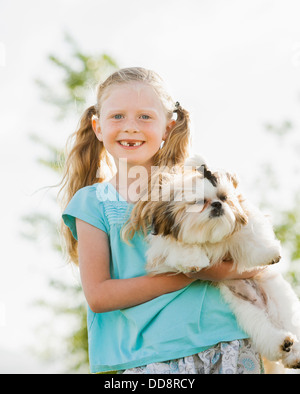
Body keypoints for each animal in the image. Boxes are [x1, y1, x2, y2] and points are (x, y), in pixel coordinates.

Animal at [126, 155, 300, 368]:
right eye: (200, 201)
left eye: (224, 197)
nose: (217, 205)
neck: (210, 235)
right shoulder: (164, 245)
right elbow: (180, 245)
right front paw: (193, 260)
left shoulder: (243, 219)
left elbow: (251, 235)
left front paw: (269, 253)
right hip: (247, 312)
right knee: (266, 331)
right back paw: (284, 345)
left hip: (281, 303)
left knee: (290, 323)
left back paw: (293, 353)